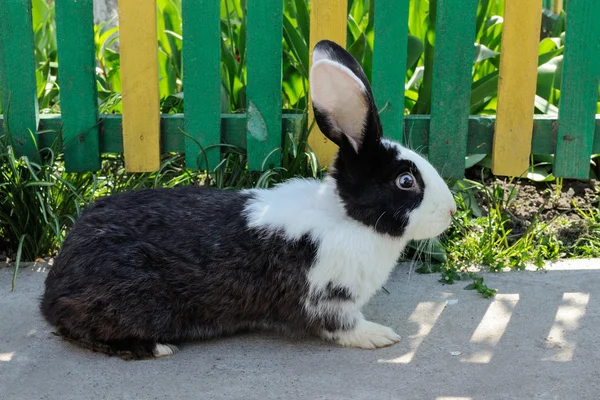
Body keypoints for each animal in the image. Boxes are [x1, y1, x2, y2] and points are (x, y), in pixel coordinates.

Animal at [39, 39, 458, 360]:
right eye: (406, 181)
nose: (451, 211)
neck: (346, 217)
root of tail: (53, 289)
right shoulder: (326, 298)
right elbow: (342, 326)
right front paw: (379, 336)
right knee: (80, 329)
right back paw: (155, 347)